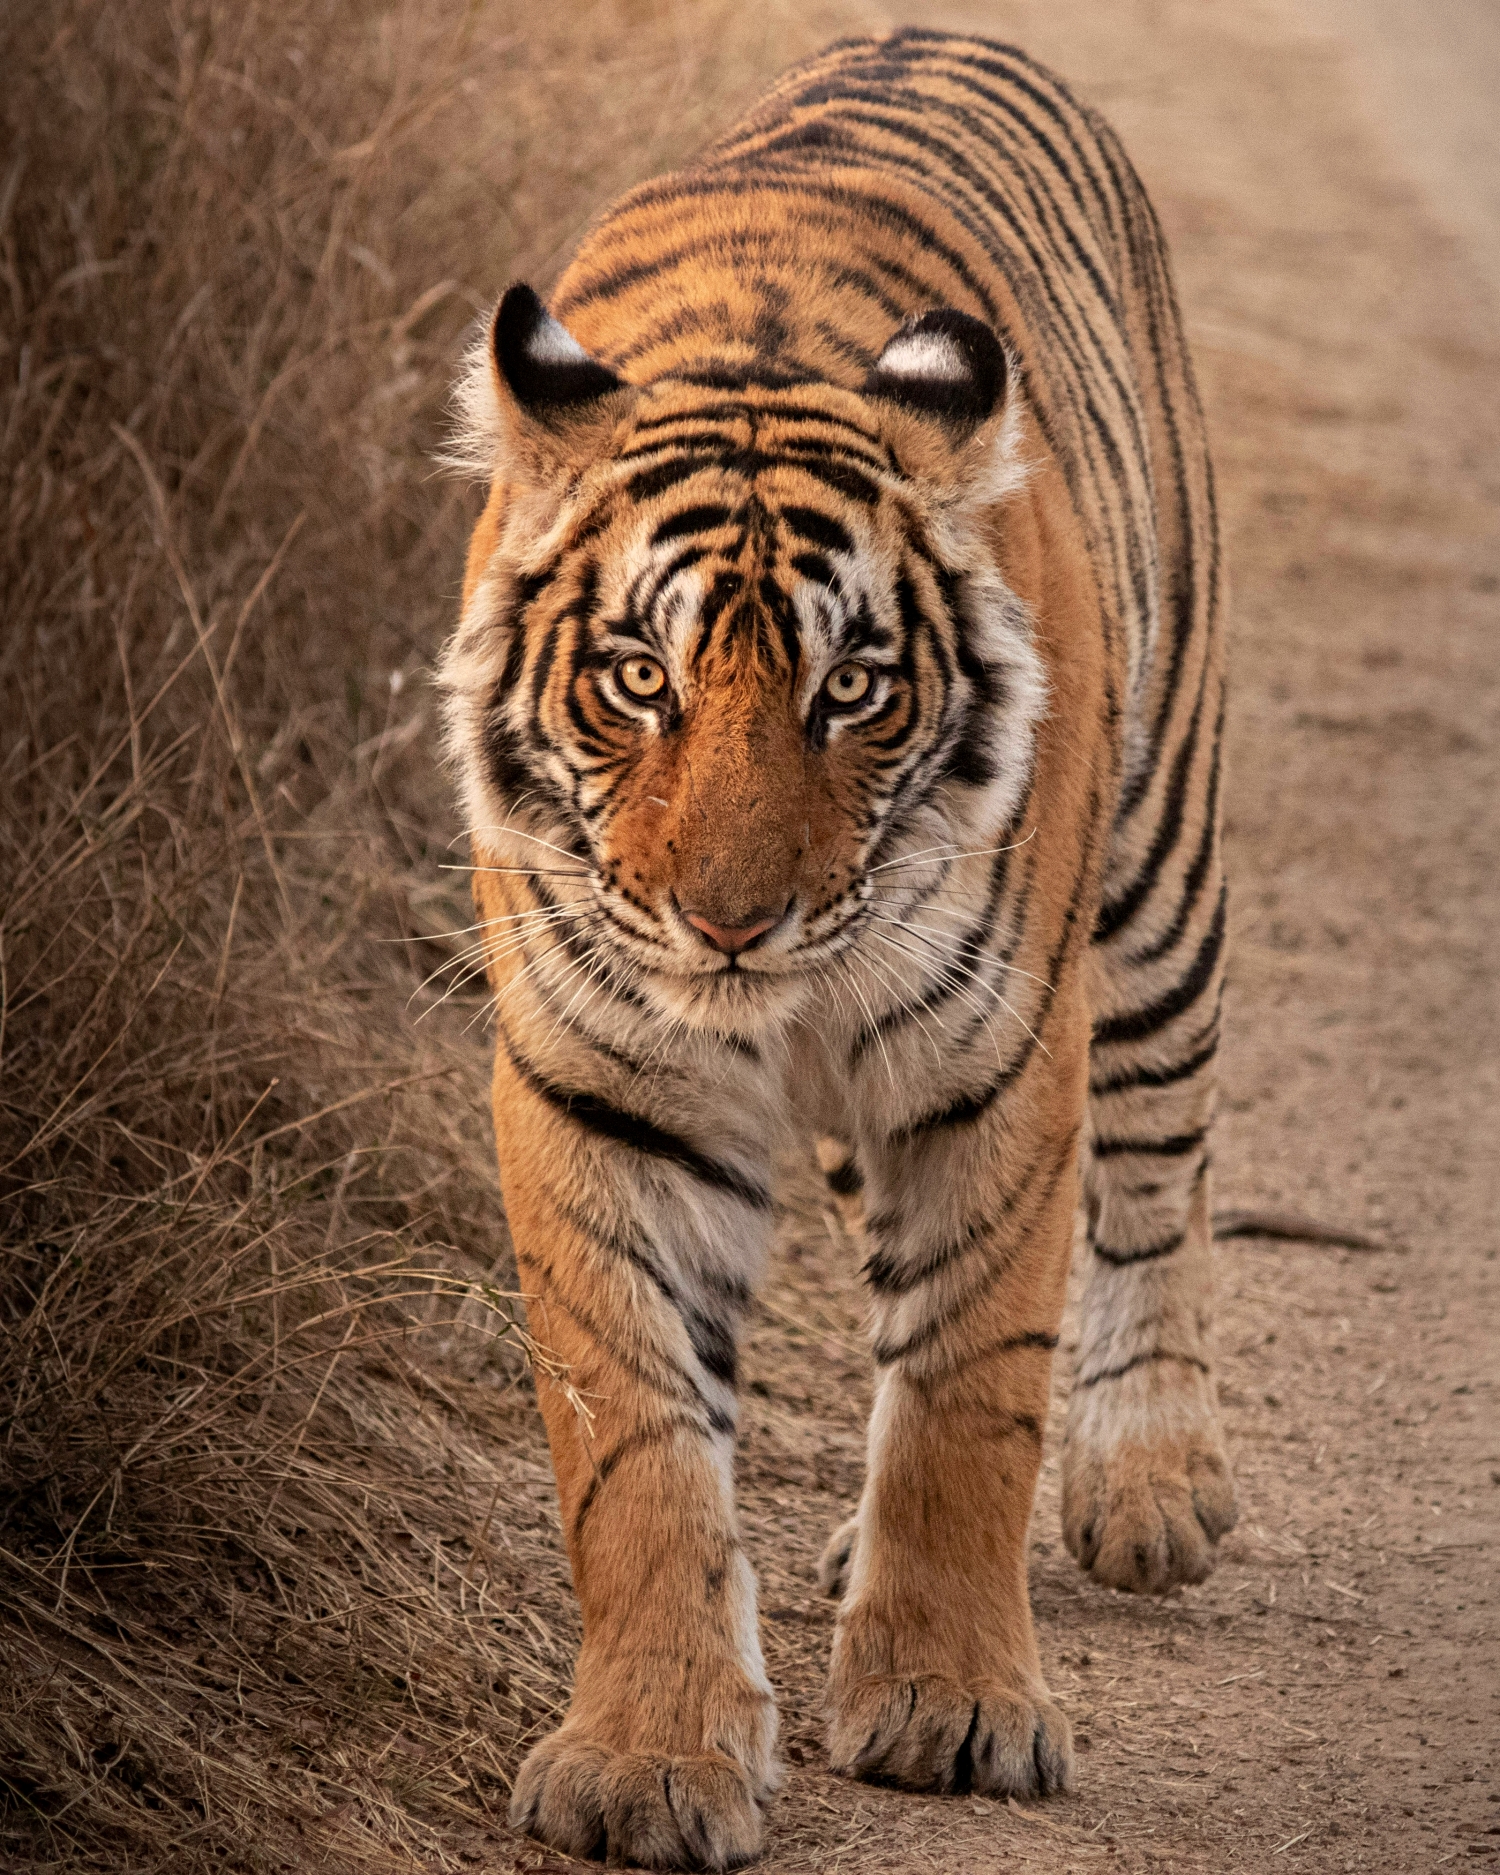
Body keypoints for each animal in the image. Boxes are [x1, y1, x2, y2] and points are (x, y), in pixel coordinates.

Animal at [440, 27, 1237, 1869]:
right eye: (638, 678)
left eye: (854, 688)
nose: (732, 922)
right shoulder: (604, 1084)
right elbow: (636, 1442)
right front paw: (647, 1760)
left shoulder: (994, 1064)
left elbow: (966, 1393)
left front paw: (951, 1706)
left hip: (1158, 868)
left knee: (1159, 1162)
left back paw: (1152, 1477)